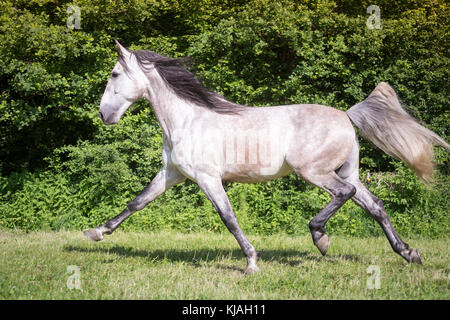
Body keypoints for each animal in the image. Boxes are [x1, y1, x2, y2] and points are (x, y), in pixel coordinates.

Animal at [83, 41, 446, 274]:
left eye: (114, 75)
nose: (103, 115)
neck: (187, 119)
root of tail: (346, 115)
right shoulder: (172, 173)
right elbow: (137, 202)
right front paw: (96, 232)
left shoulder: (207, 178)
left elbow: (228, 218)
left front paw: (252, 262)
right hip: (346, 171)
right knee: (375, 206)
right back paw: (409, 253)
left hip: (314, 172)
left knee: (346, 194)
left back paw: (321, 238)